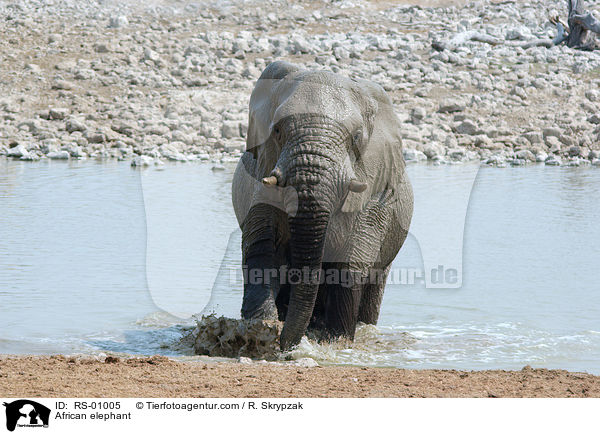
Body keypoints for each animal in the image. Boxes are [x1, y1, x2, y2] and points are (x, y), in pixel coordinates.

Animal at [232, 61, 414, 350]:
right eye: (277, 131)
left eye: (356, 138)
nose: (285, 345)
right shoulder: (261, 175)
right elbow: (263, 248)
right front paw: (260, 330)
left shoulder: (374, 190)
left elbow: (351, 261)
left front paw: (336, 341)